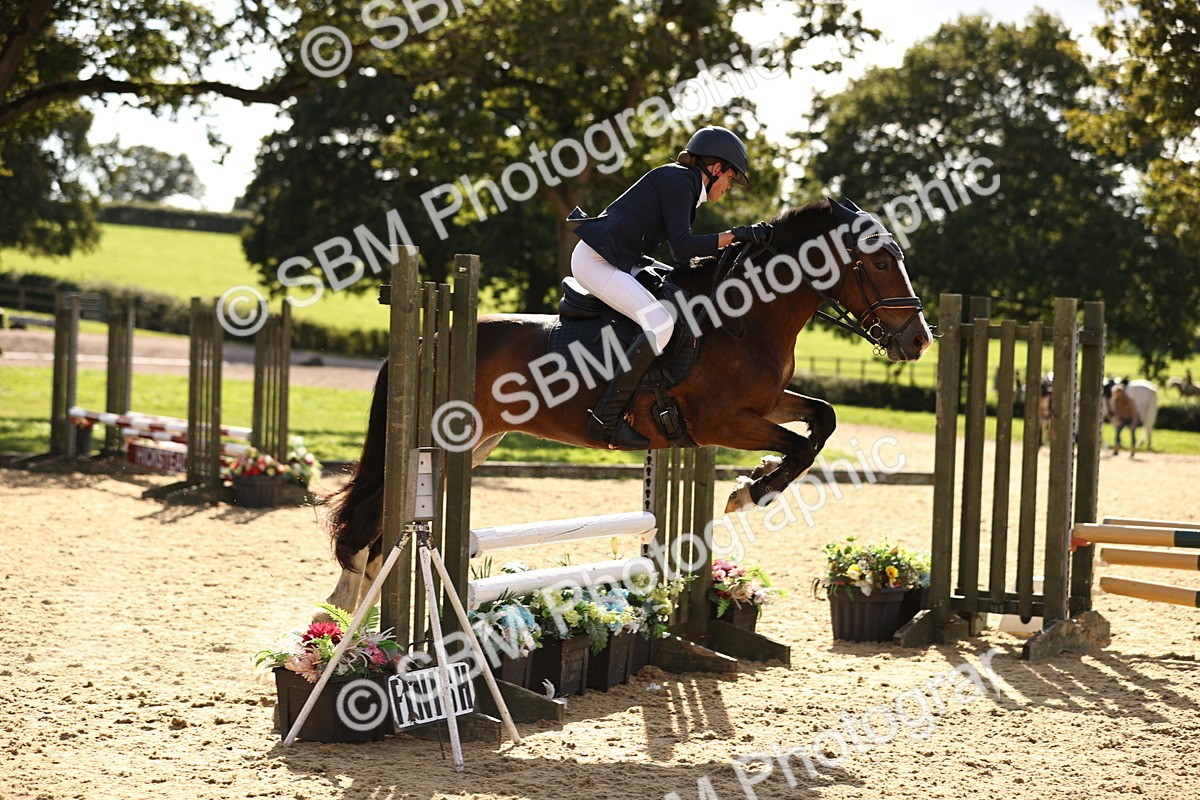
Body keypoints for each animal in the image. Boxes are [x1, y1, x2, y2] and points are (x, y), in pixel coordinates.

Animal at [322, 198, 932, 610]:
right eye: (881, 263)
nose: (920, 340)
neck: (744, 317)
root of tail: (428, 336)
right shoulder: (720, 421)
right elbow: (800, 448)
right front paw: (750, 490)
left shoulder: (765, 404)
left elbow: (822, 421)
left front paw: (755, 479)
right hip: (435, 443)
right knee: (373, 518)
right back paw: (351, 625)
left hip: (472, 448)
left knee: (381, 522)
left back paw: (350, 617)